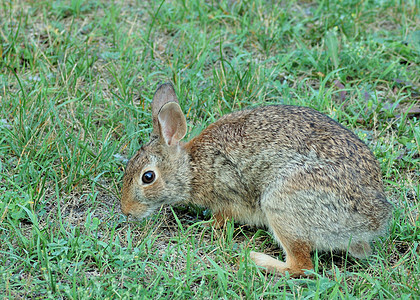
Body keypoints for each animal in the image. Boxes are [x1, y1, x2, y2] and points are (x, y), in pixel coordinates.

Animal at [120, 82, 392, 276]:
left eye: (148, 177)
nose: (126, 211)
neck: (193, 167)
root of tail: (372, 223)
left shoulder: (228, 195)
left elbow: (222, 218)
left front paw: (201, 226)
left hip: (281, 204)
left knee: (302, 266)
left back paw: (254, 259)